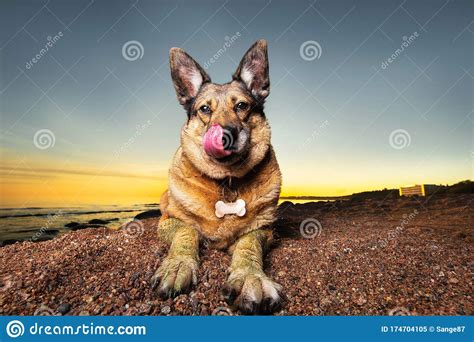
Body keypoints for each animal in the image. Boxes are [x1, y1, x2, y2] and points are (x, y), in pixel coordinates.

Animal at [152, 38, 282, 314]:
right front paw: (177, 265)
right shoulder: (169, 221)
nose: (226, 135)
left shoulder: (264, 229)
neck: (227, 181)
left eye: (241, 106)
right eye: (204, 109)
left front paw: (249, 277)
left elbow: (248, 245)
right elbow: (186, 232)